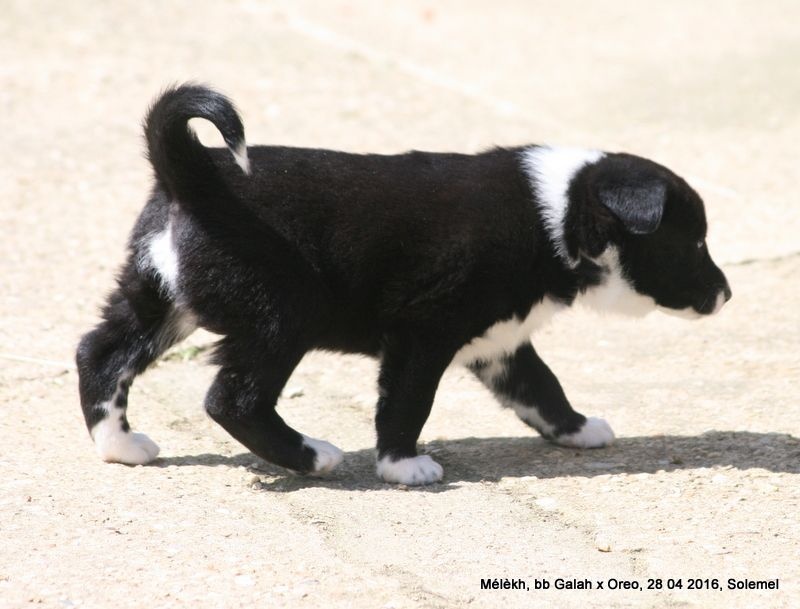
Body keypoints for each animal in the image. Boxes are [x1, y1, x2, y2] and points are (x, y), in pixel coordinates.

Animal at [76, 84, 732, 484]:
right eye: (694, 243)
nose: (726, 294)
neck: (559, 217)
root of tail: (193, 175)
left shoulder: (501, 341)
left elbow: (541, 386)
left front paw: (577, 429)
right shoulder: (423, 331)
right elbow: (409, 401)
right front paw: (402, 465)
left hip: (160, 298)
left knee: (100, 353)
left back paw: (119, 446)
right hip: (281, 315)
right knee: (231, 398)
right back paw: (312, 456)